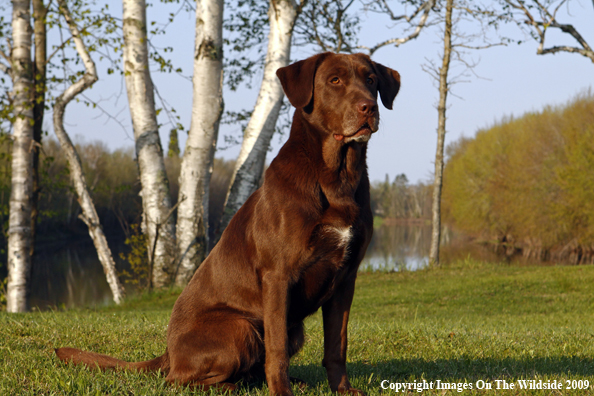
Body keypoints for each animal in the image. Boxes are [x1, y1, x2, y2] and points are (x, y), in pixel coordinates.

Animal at [55, 53, 398, 396]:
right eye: (334, 80)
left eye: (370, 80)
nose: (369, 107)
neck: (336, 177)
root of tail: (169, 353)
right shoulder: (278, 275)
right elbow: (276, 351)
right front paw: (281, 392)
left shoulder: (346, 278)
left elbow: (337, 345)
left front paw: (342, 390)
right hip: (241, 327)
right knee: (179, 379)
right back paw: (231, 386)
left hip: (294, 327)